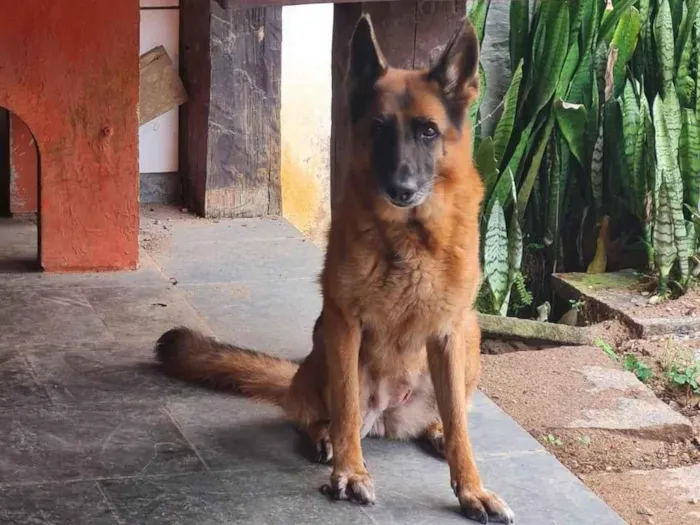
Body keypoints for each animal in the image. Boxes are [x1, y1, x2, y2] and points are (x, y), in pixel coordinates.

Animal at [154, 13, 516, 524]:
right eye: (380, 127)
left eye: (428, 131)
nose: (402, 189)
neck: (408, 240)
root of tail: (389, 419)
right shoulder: (345, 323)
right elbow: (343, 407)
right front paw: (349, 472)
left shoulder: (449, 331)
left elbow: (463, 432)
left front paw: (471, 488)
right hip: (326, 347)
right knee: (313, 414)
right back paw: (326, 437)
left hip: (470, 340)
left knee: (451, 413)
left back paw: (436, 430)